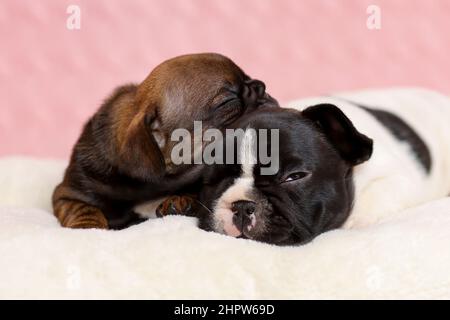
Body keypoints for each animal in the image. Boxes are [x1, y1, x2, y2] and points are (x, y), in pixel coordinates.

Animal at [51, 52, 278, 229]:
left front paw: (180, 200)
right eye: (228, 102)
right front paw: (89, 227)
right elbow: (84, 209)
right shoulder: (68, 194)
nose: (261, 87)